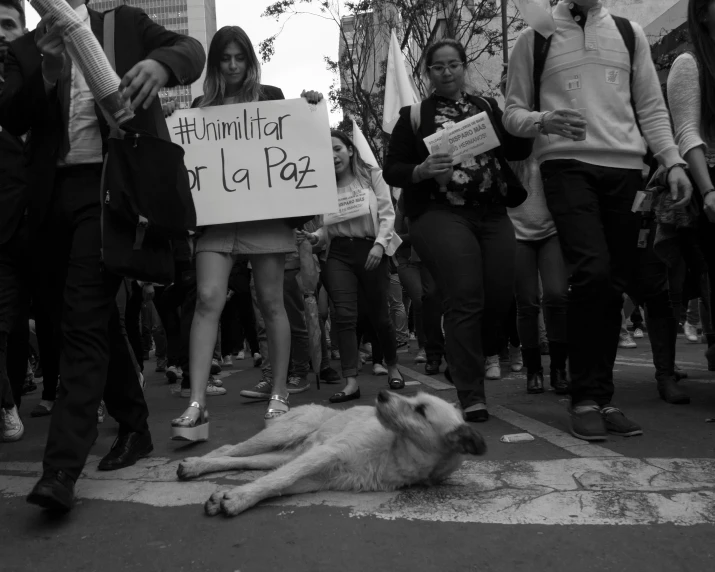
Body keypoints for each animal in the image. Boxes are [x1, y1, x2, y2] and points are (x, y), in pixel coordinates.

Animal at [177, 392, 490, 516]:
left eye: (422, 410)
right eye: (414, 399)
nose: (382, 394)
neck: (396, 452)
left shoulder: (321, 478)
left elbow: (278, 483)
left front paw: (232, 496)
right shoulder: (328, 451)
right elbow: (278, 480)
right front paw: (239, 499)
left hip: (283, 455)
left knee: (244, 460)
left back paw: (197, 468)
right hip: (284, 433)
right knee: (229, 449)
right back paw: (194, 463)